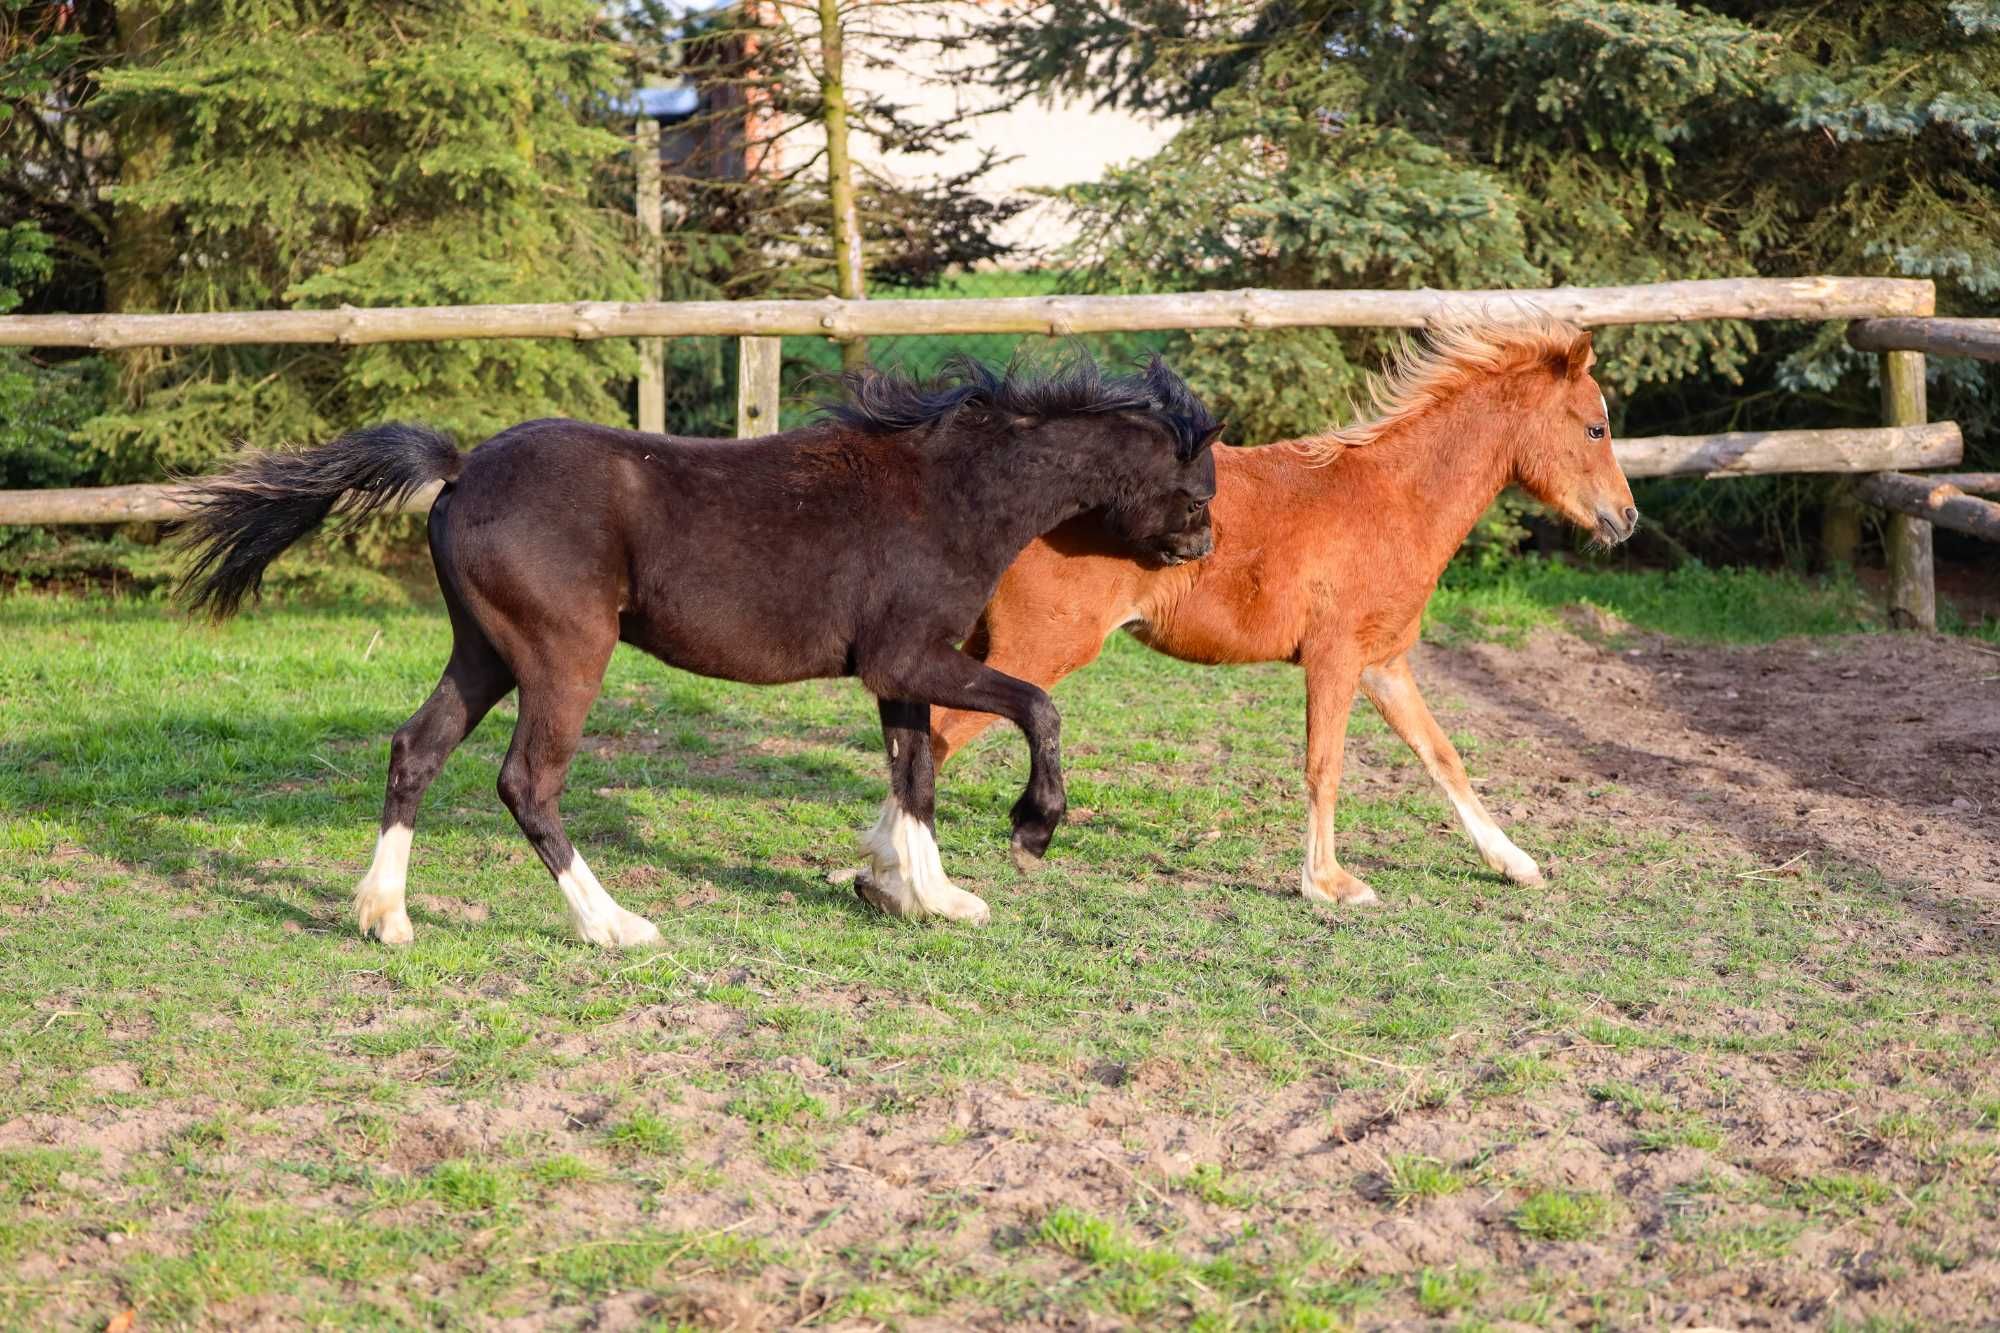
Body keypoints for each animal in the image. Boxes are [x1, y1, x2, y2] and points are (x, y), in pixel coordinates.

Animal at [180, 352, 1224, 932]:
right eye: (1198, 487)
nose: (1205, 546)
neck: (951, 492)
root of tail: (463, 466)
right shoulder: (912, 659)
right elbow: (1035, 708)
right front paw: (1031, 829)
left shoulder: (897, 671)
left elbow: (914, 774)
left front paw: (922, 896)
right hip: (564, 656)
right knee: (526, 782)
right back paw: (614, 926)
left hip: (483, 652)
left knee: (416, 750)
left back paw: (385, 918)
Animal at [928, 320, 1632, 904]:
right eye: (1595, 428)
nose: (1625, 519)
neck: (1397, 501)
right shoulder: (1334, 659)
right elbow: (1325, 765)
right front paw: (1329, 884)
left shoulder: (1384, 664)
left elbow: (1441, 754)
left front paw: (1514, 862)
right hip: (1040, 650)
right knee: (936, 737)